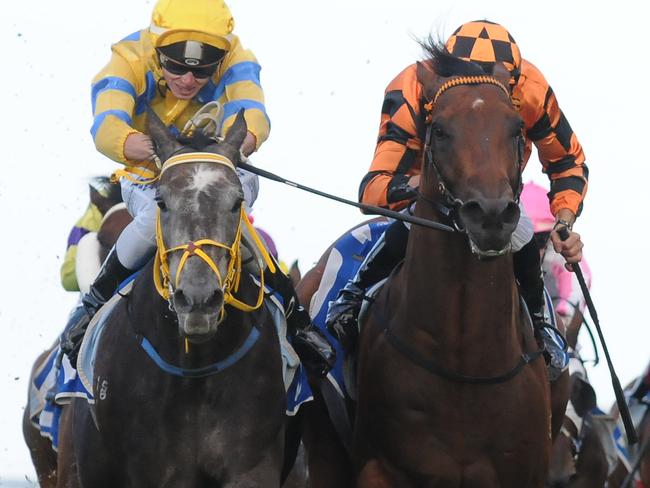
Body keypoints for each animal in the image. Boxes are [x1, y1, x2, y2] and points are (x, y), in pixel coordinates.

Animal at [54, 111, 288, 488]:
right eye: (161, 202)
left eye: (236, 201)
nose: (198, 299)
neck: (194, 367)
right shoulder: (153, 468)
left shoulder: (252, 463)